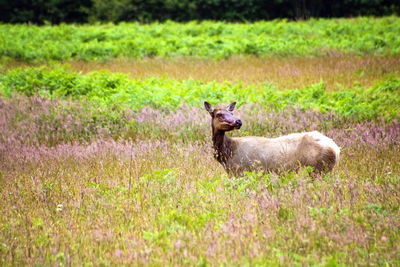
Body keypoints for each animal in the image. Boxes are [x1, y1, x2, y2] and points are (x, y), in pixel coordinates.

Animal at [205, 101, 340, 177]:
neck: (227, 155)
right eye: (219, 114)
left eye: (231, 113)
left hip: (318, 169)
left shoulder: (241, 171)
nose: (238, 121)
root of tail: (336, 149)